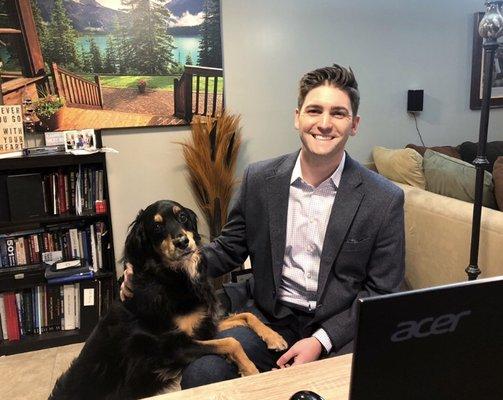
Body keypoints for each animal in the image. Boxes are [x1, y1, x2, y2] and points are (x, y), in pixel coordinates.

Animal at [51, 200, 290, 400]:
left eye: (182, 217)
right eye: (156, 227)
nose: (182, 242)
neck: (173, 278)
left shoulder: (204, 325)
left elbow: (246, 315)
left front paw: (274, 337)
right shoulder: (173, 348)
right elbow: (231, 342)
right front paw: (250, 370)